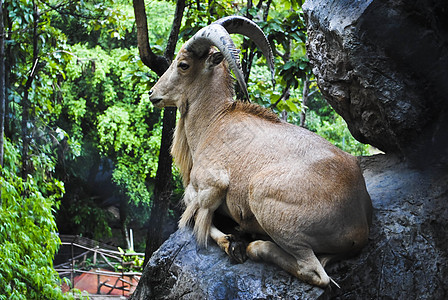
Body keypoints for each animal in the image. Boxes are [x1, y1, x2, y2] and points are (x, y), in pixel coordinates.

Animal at [149, 15, 372, 288]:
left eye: (183, 64)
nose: (153, 94)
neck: (214, 122)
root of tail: (359, 227)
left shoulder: (210, 183)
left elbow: (195, 210)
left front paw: (230, 244)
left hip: (267, 202)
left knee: (315, 272)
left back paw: (252, 245)